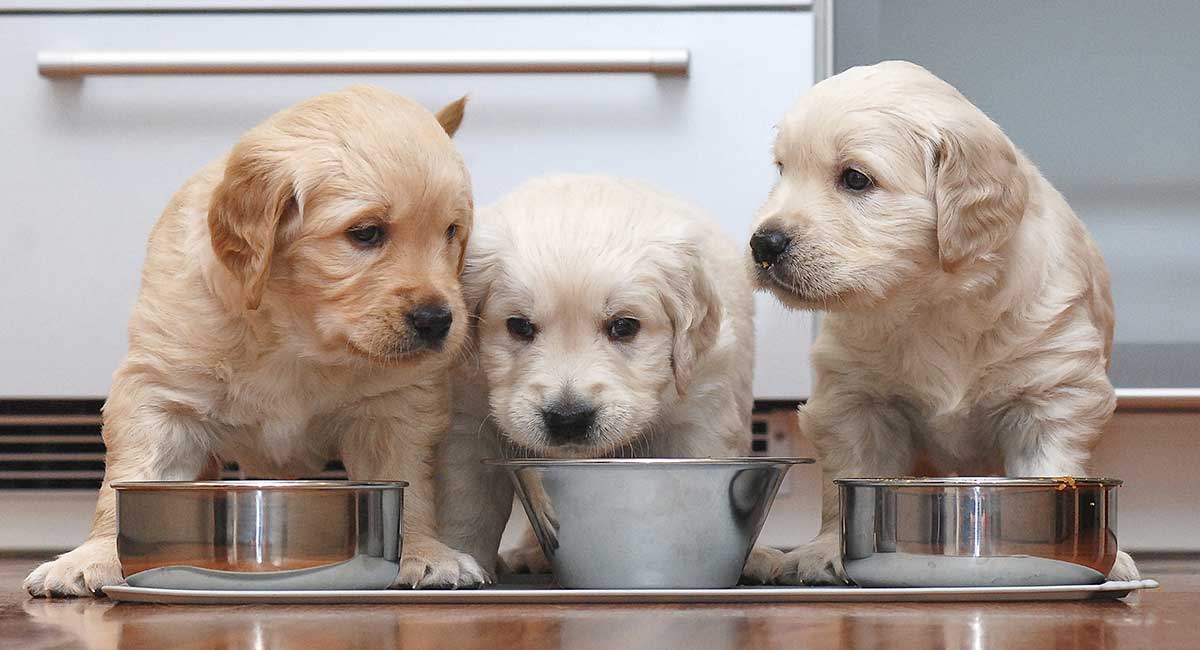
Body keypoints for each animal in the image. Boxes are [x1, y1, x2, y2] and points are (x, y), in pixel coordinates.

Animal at [23, 86, 484, 602]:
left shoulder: (396, 404)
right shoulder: (160, 392)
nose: (438, 321)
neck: (296, 335)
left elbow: (410, 485)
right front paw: (96, 555)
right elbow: (132, 477)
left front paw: (424, 551)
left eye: (452, 231)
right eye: (366, 233)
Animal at [441, 172, 753, 575]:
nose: (568, 418)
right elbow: (468, 507)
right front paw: (457, 561)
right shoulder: (467, 418)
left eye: (624, 326)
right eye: (519, 326)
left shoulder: (699, 412)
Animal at [744, 62, 1137, 585]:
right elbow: (845, 478)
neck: (932, 302)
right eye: (782, 170)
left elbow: (1049, 462)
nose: (762, 244)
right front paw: (827, 550)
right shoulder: (854, 399)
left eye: (855, 179)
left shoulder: (1053, 392)